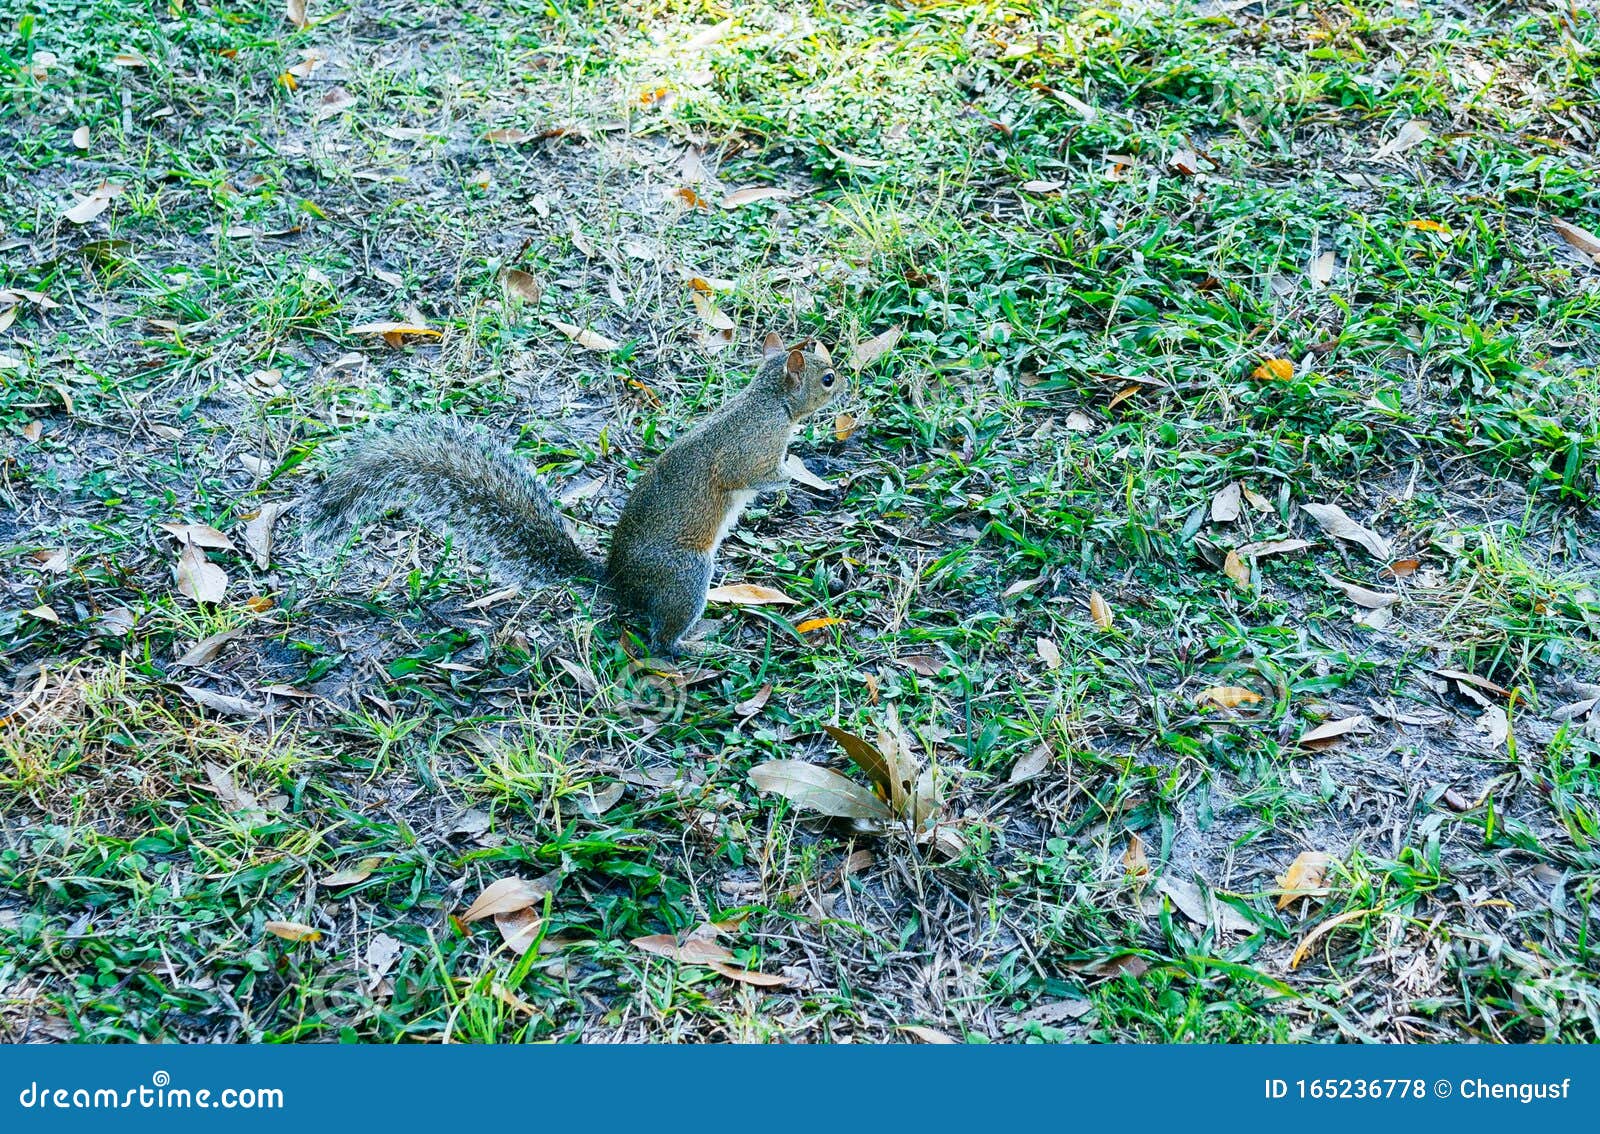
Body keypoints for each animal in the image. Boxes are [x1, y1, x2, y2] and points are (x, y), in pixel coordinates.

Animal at [306, 332, 842, 655]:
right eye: (828, 377)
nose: (850, 386)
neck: (768, 400)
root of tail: (618, 583)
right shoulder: (751, 449)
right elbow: (751, 476)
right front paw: (797, 478)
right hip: (685, 575)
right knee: (661, 639)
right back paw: (696, 645)